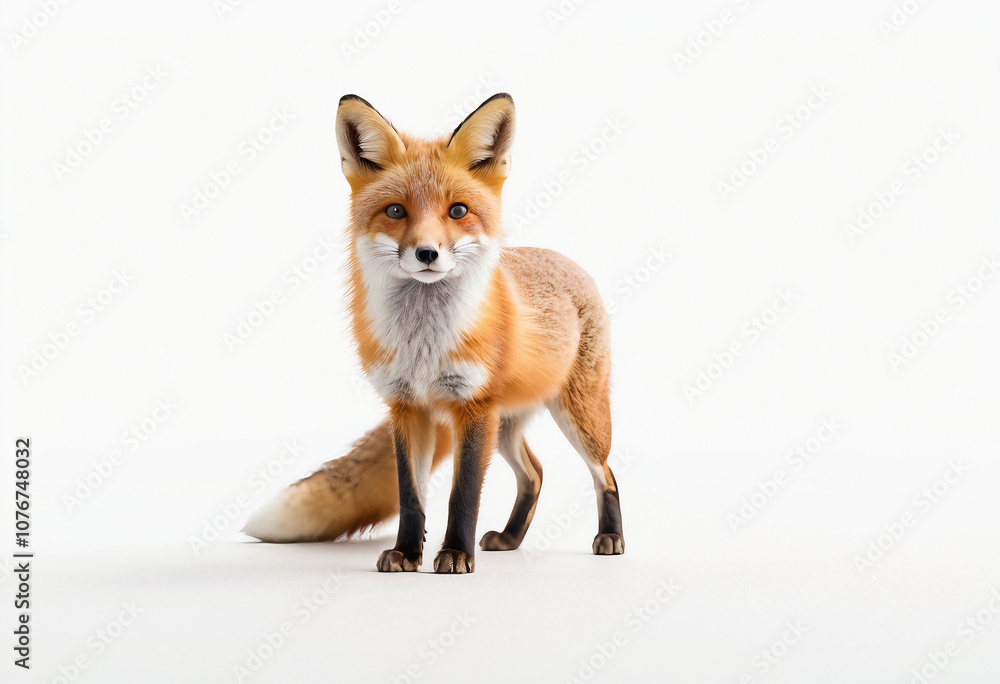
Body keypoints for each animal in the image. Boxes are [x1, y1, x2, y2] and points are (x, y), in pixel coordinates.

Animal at [243, 93, 624, 573]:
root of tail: (566, 260)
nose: (427, 253)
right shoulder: (407, 408)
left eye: (458, 210)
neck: (423, 343)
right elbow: (412, 496)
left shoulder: (473, 408)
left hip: (578, 417)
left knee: (604, 472)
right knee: (535, 472)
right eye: (395, 210)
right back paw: (510, 539)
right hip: (506, 427)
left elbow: (463, 494)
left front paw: (455, 554)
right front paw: (407, 553)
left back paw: (611, 536)